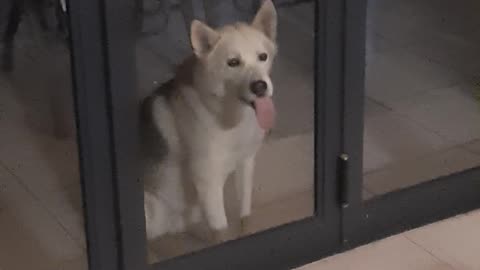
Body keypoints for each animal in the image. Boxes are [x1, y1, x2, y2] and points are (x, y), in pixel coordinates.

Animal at [142, 0, 278, 243]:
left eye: (262, 57)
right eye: (233, 62)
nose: (260, 87)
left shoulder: (246, 163)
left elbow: (245, 213)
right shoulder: (207, 181)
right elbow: (221, 230)